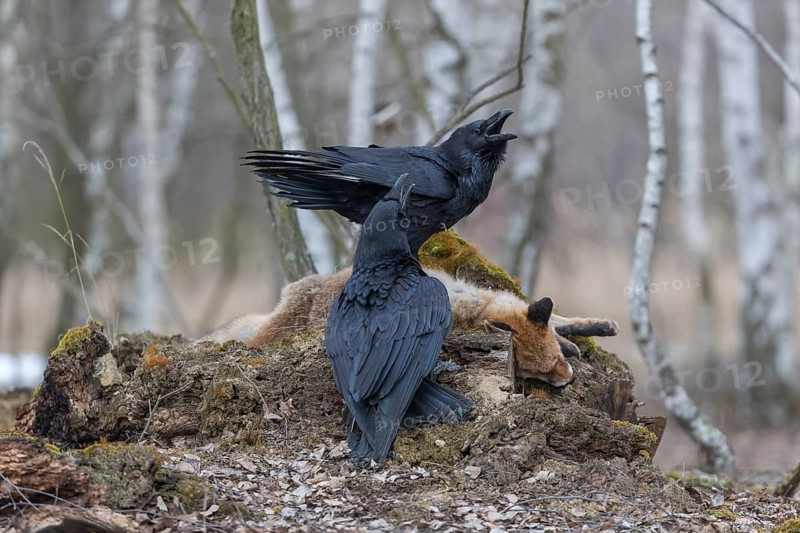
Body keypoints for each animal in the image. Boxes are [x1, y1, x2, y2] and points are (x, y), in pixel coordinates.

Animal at [200, 267, 619, 388]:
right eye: (538, 373)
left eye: (550, 363)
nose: (568, 380)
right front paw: (574, 344)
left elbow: (561, 319)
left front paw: (594, 327)